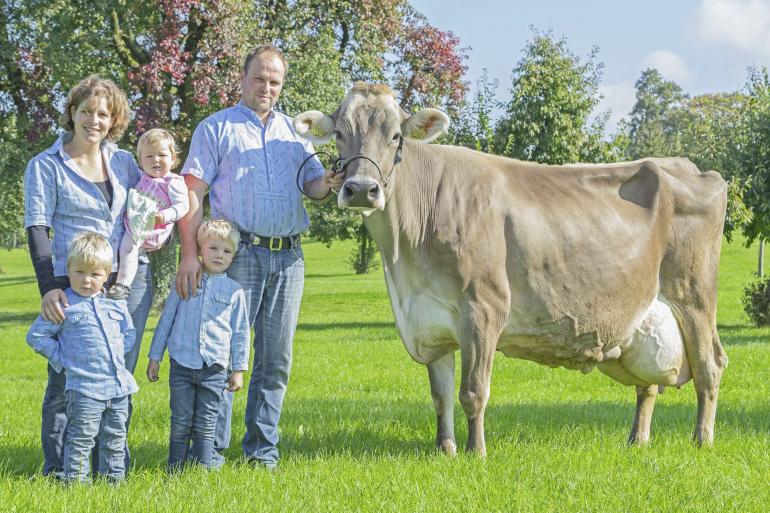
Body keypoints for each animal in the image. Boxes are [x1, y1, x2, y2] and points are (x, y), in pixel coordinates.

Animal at [294, 84, 728, 456]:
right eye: (339, 134)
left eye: (397, 136)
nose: (361, 189)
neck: (405, 262)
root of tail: (690, 167)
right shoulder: (429, 320)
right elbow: (441, 394)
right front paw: (445, 449)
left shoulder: (483, 307)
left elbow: (473, 391)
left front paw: (476, 452)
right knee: (648, 386)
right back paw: (637, 441)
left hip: (694, 294)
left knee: (710, 366)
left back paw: (702, 440)